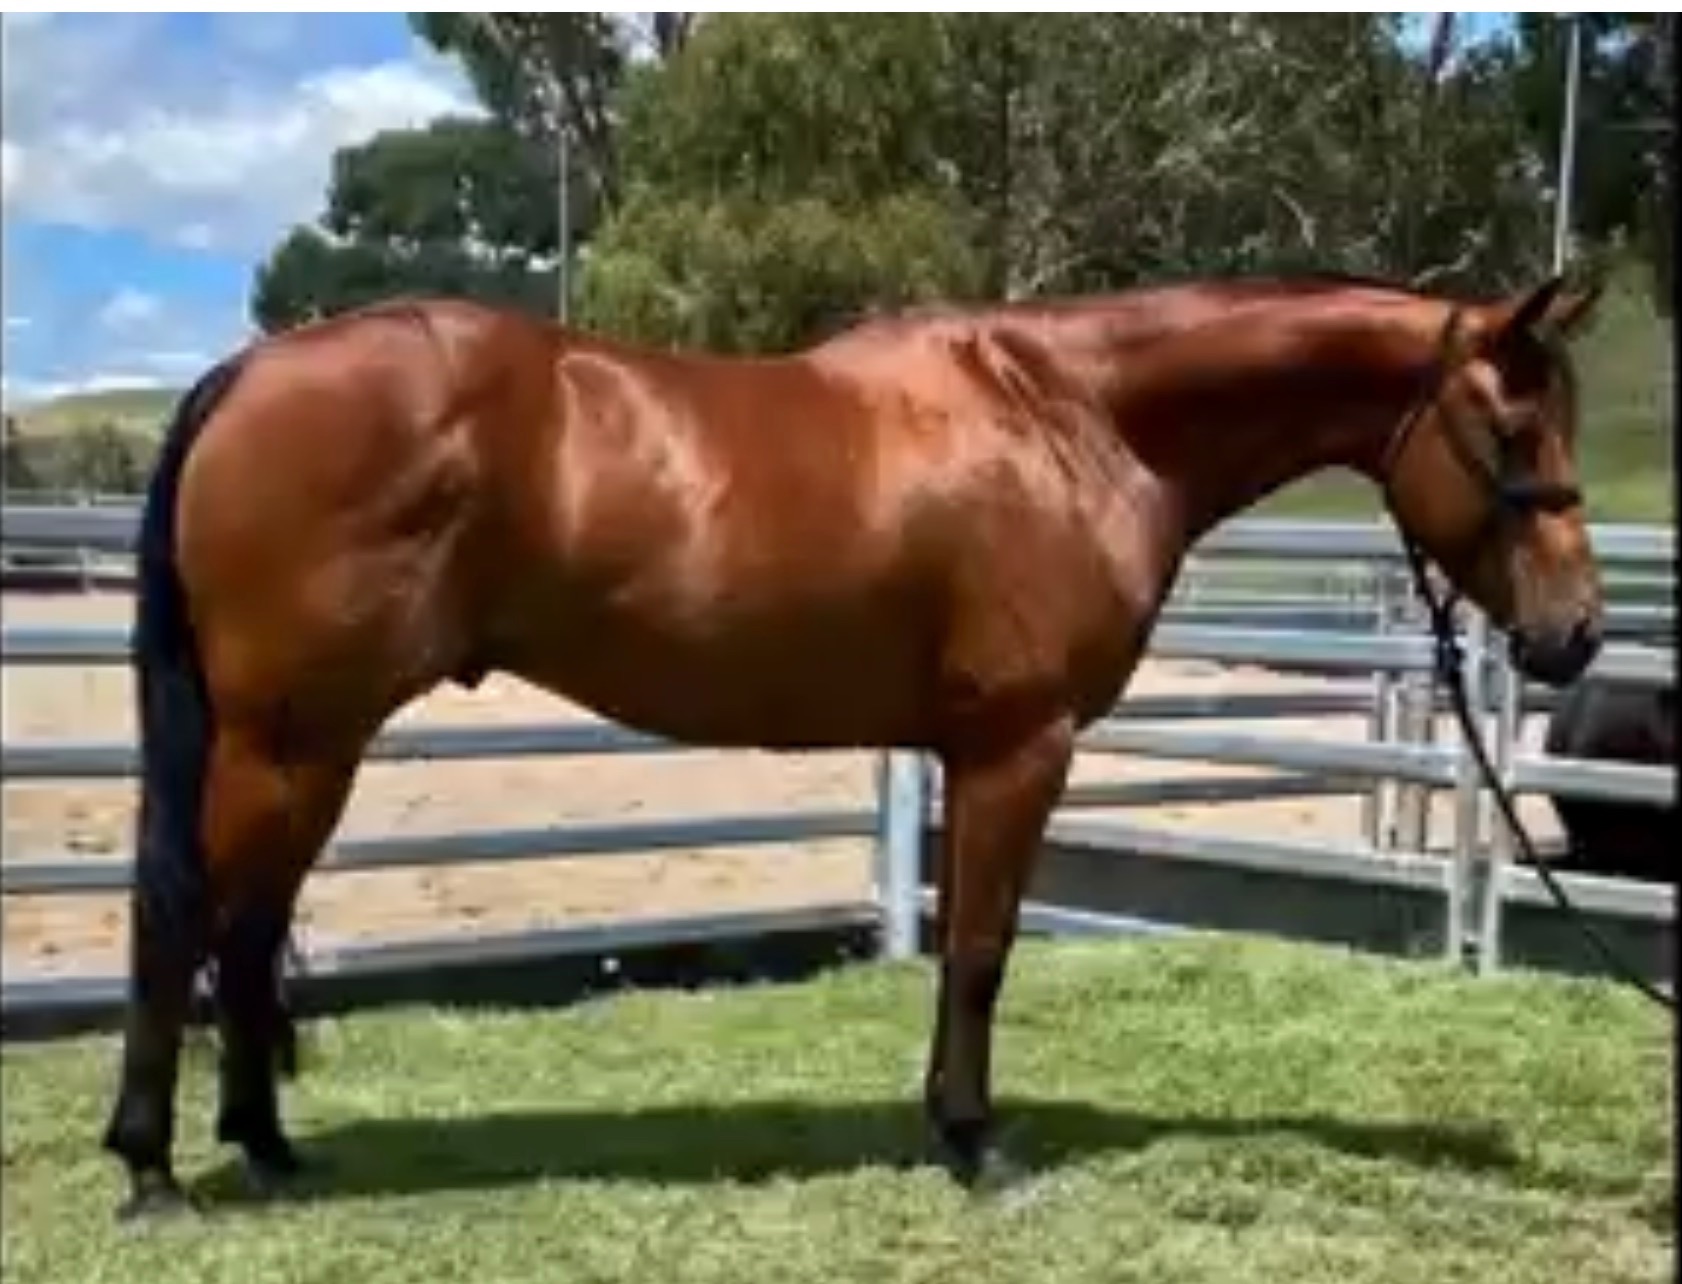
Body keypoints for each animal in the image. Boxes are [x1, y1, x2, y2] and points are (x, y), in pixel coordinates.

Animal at [100, 270, 1606, 1221]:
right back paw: (155, 1173)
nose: (1575, 635)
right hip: (288, 739)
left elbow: (959, 952)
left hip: (308, 746)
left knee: (247, 931)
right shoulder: (1017, 745)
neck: (1075, 417)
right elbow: (981, 950)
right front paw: (975, 1144)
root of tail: (247, 372)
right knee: (185, 921)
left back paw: (268, 1151)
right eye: (1508, 426)